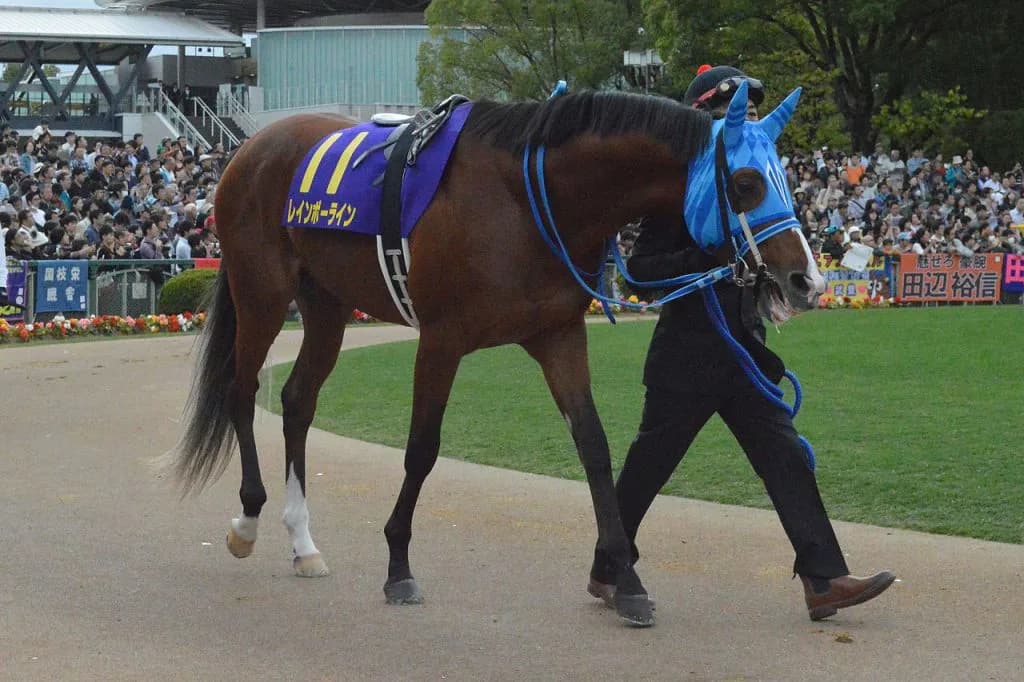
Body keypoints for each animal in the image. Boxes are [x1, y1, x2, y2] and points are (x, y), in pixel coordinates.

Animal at [170, 82, 822, 627]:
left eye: (784, 178)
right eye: (746, 183)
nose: (805, 280)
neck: (526, 199)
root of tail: (251, 147)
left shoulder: (559, 335)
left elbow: (595, 448)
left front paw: (627, 581)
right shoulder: (441, 339)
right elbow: (421, 450)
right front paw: (399, 567)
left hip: (326, 303)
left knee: (298, 400)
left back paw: (303, 543)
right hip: (261, 293)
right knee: (241, 392)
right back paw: (248, 521)